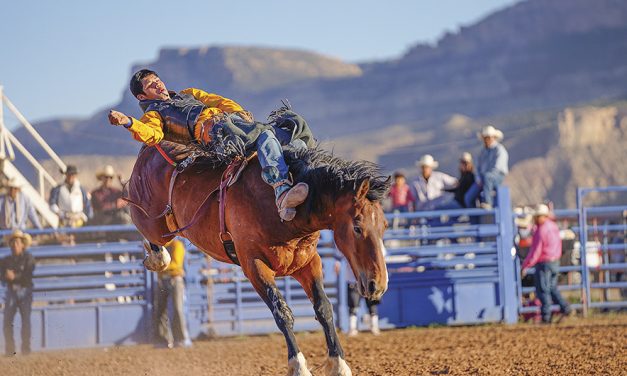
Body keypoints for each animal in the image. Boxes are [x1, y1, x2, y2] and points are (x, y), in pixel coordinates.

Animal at [127, 142, 390, 374]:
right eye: (357, 227)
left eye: (385, 226)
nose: (378, 284)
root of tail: (149, 148)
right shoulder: (254, 266)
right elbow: (282, 312)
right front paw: (299, 367)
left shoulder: (308, 263)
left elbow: (324, 308)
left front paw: (339, 365)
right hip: (151, 222)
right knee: (147, 231)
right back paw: (157, 257)